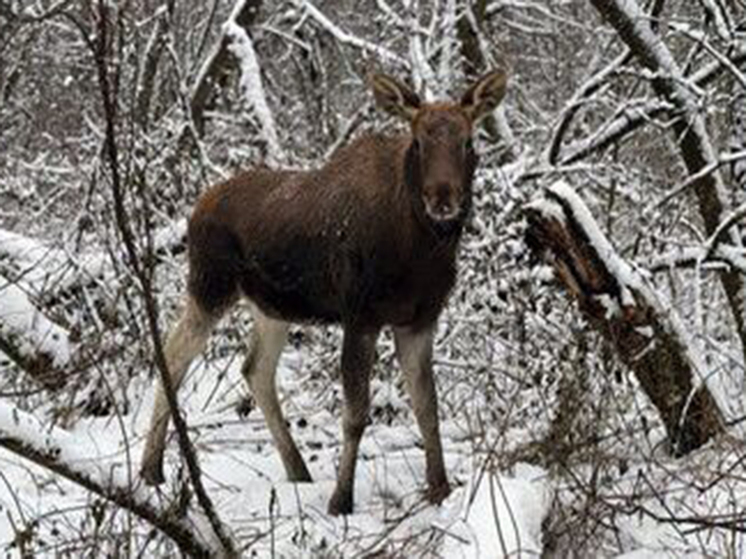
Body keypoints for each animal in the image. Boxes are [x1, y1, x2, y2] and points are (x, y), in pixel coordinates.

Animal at [141, 70, 506, 516]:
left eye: (467, 141)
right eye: (418, 141)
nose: (442, 197)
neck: (419, 251)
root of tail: (195, 209)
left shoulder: (420, 319)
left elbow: (427, 407)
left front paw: (439, 490)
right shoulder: (360, 315)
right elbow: (356, 414)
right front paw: (340, 499)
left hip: (270, 306)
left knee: (254, 367)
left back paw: (297, 469)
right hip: (210, 285)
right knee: (174, 354)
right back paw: (151, 469)